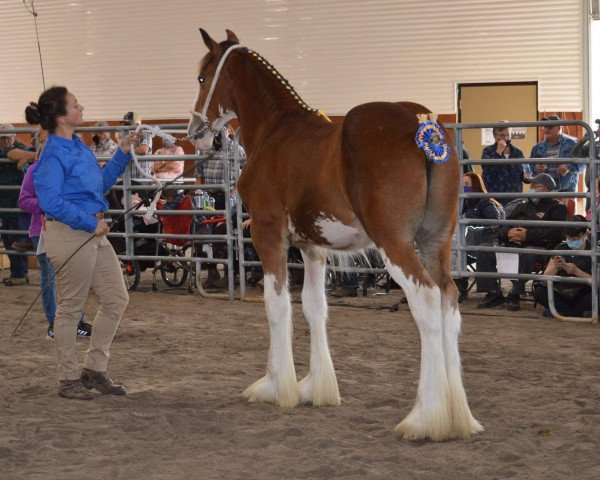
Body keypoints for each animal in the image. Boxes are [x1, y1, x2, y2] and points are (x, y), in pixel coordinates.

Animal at [188, 29, 482, 442]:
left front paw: (277, 387)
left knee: (426, 300)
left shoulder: (267, 234)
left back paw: (425, 418)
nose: (195, 134)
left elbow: (276, 305)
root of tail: (425, 126)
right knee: (449, 300)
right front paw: (315, 387)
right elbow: (314, 307)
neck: (276, 130)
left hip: (395, 244)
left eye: (202, 77)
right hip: (435, 242)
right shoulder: (312, 247)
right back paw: (458, 417)